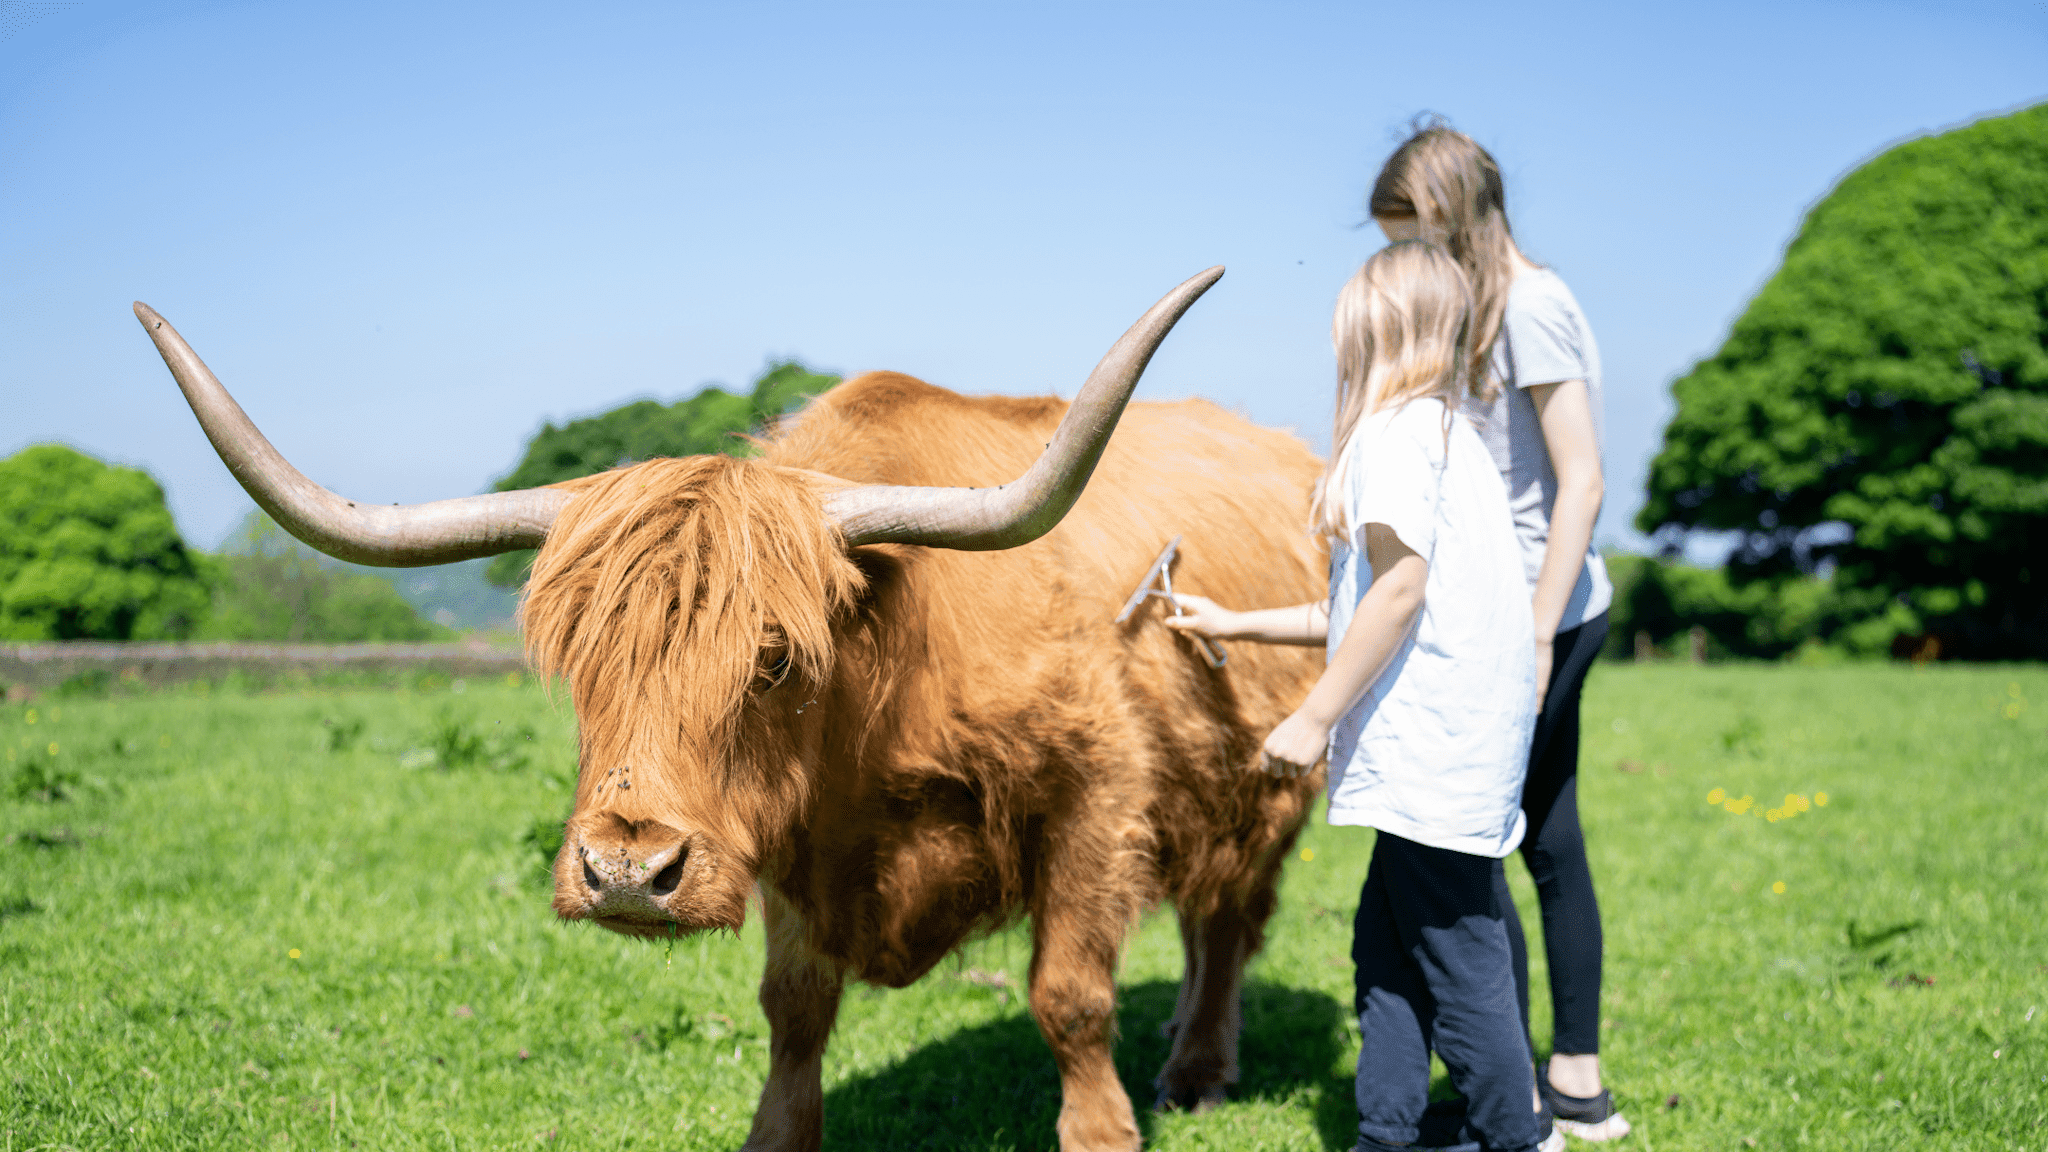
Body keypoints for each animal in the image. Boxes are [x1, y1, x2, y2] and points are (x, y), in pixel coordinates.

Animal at [135, 268, 1328, 1152]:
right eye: (581, 662)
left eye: (773, 659)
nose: (625, 872)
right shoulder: (784, 843)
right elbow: (792, 1011)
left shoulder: (1094, 800)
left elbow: (1069, 996)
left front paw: (1104, 1128)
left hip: (1265, 790)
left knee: (1227, 921)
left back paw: (1194, 1067)